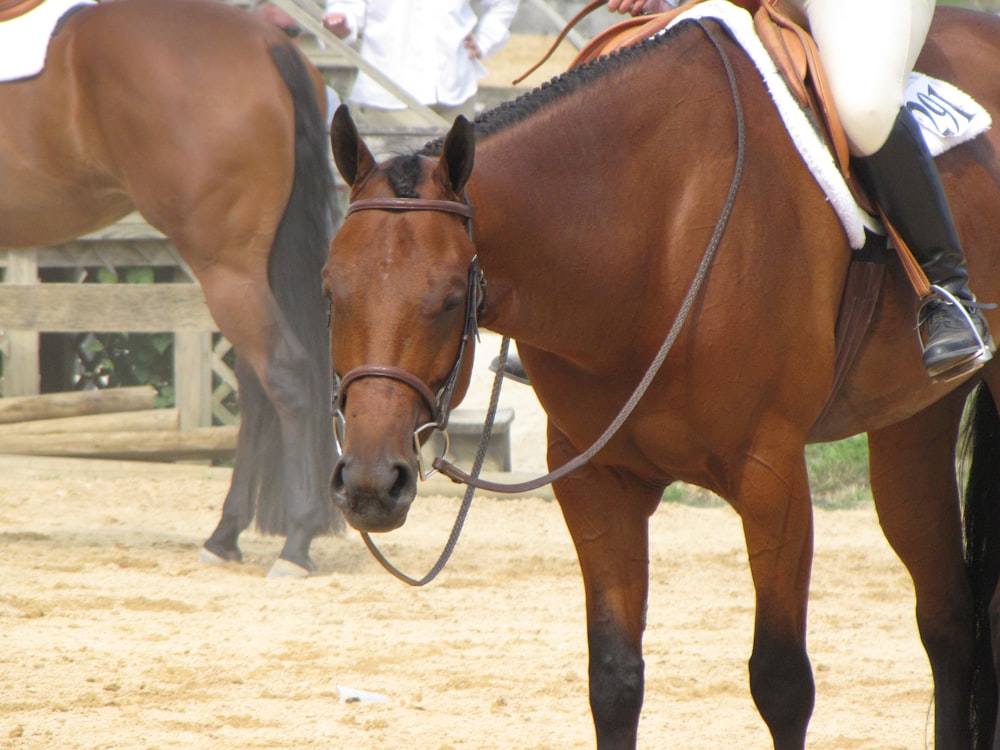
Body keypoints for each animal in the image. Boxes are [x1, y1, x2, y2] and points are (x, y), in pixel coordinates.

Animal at [0, 0, 340, 580]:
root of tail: (263, 40)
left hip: (225, 268)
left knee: (286, 375)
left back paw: (296, 543)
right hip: (253, 269)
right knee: (256, 388)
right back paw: (224, 536)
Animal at [328, 5, 1000, 750]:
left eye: (450, 298)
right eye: (330, 291)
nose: (372, 484)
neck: (649, 230)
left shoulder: (771, 477)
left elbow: (782, 683)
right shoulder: (595, 480)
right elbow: (615, 680)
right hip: (912, 424)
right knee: (949, 623)